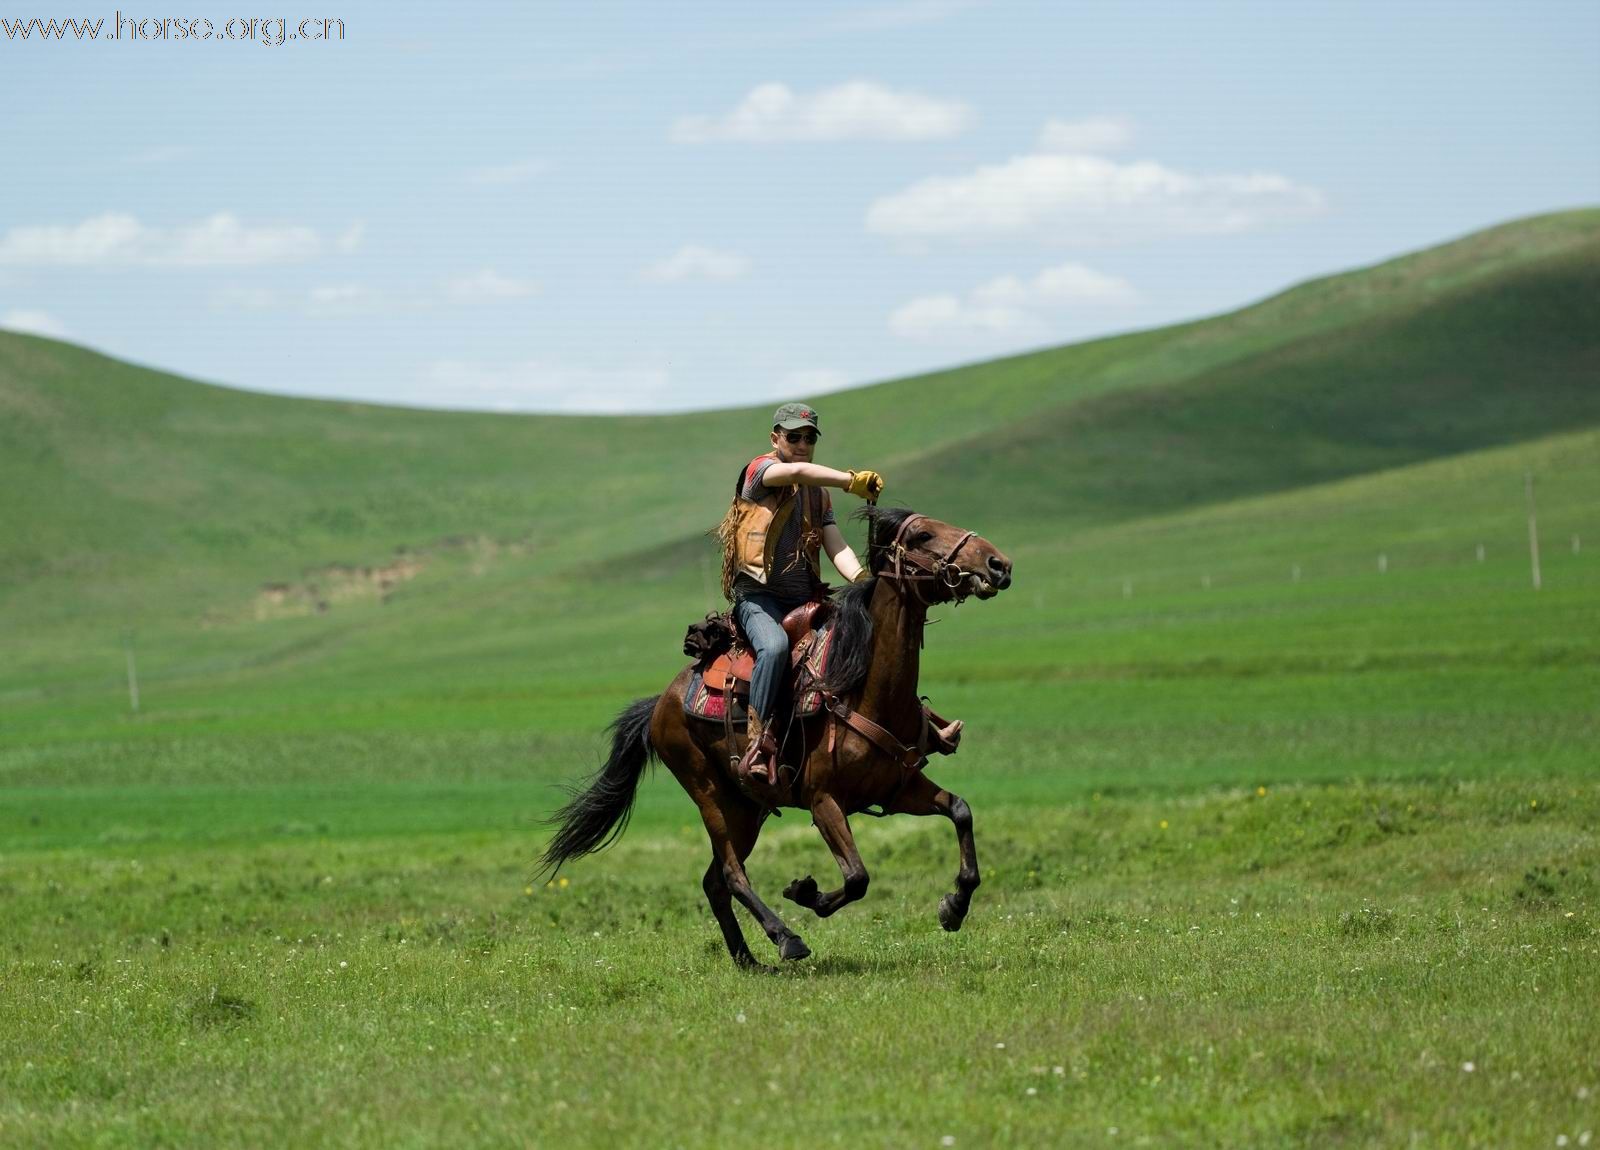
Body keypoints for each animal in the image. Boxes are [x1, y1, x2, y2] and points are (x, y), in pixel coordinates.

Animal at [537, 508, 1011, 966]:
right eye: (923, 536)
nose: (998, 564)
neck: (866, 689)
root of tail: (661, 703)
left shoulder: (899, 790)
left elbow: (960, 811)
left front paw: (954, 907)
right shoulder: (824, 801)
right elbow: (857, 877)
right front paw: (806, 892)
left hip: (748, 808)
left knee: (714, 883)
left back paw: (748, 960)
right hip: (712, 798)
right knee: (732, 875)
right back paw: (786, 939)